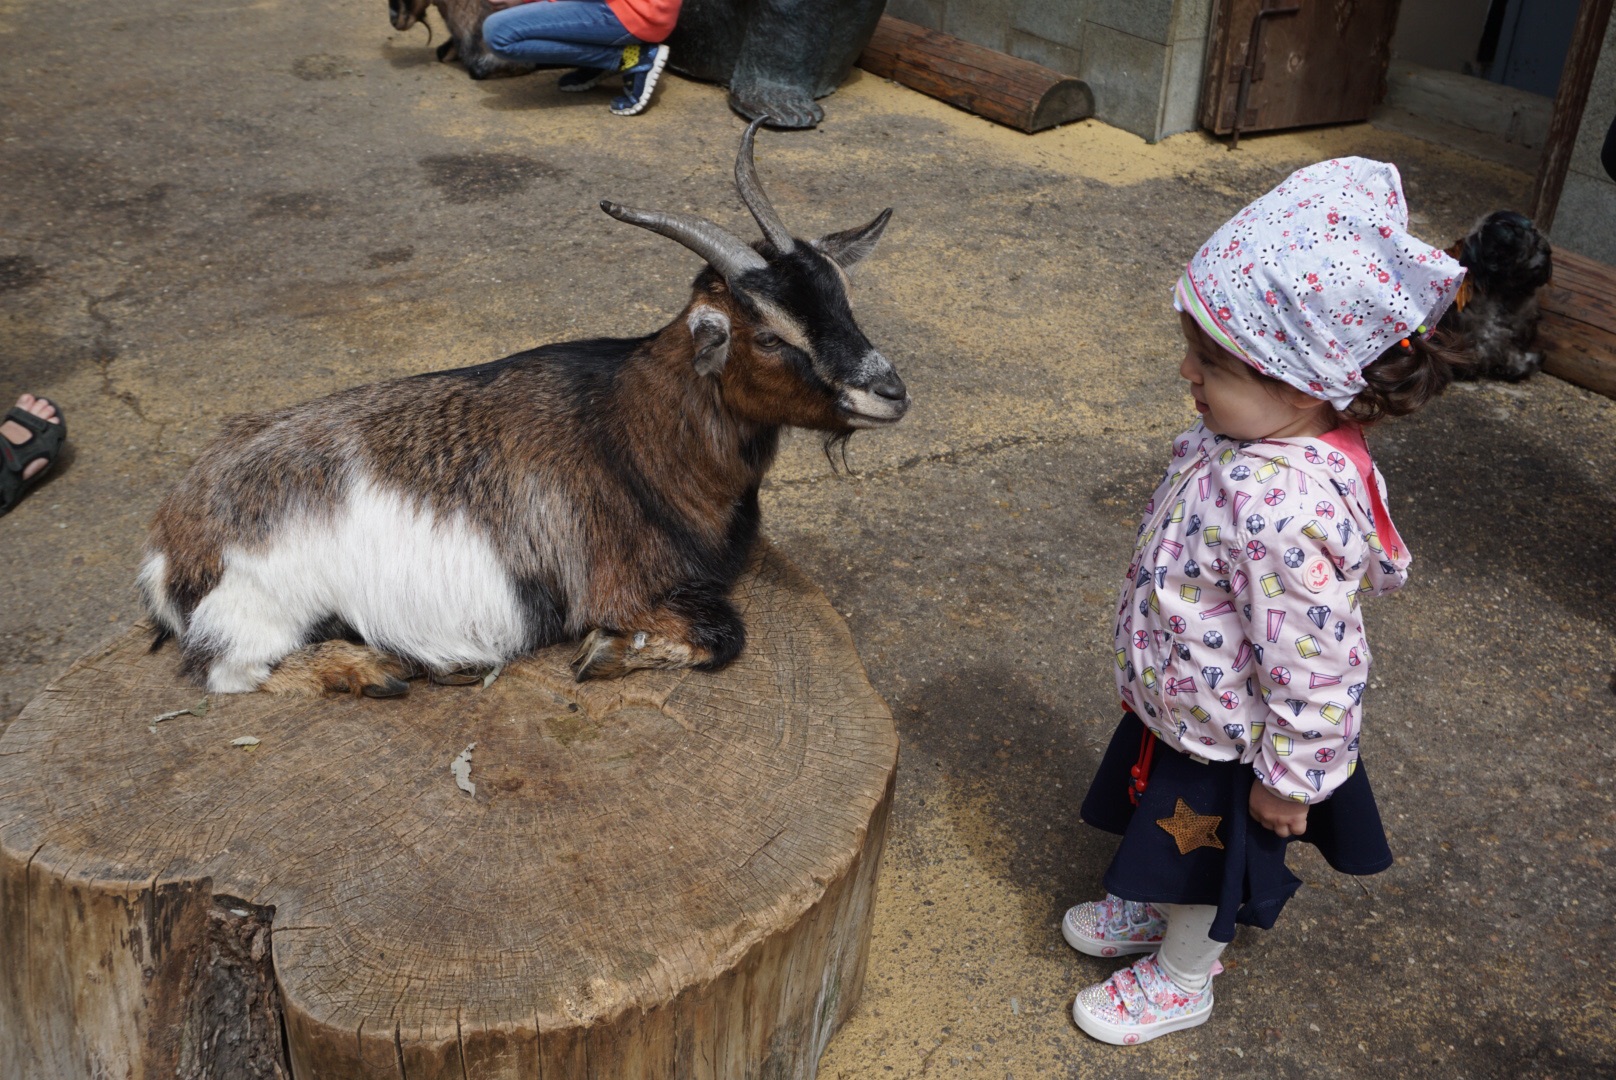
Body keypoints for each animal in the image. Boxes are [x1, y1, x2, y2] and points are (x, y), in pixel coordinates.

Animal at [138, 120, 911, 701]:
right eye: (769, 336)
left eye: (843, 296)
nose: (890, 391)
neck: (637, 433)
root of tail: (172, 534)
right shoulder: (621, 585)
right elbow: (724, 634)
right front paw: (608, 653)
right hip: (262, 608)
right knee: (230, 671)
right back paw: (383, 667)